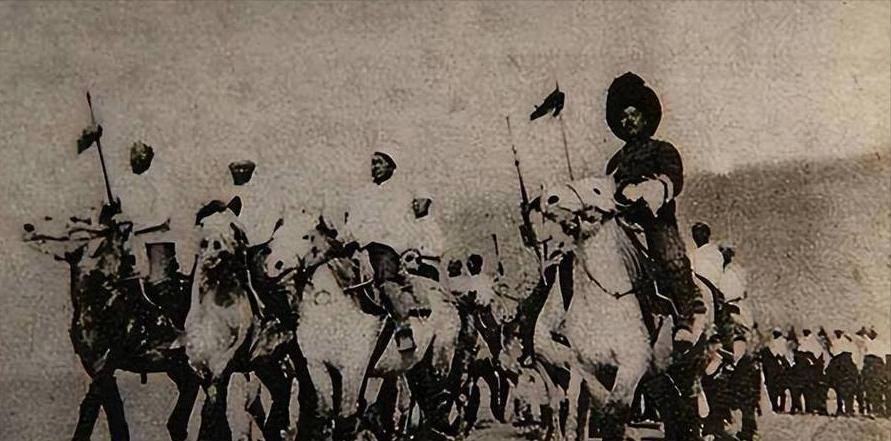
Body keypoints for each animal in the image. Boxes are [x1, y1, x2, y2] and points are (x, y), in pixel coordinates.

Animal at [23, 209, 199, 441]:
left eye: (76, 220)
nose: (28, 228)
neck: (101, 296)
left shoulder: (103, 366)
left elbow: (89, 415)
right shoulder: (98, 369)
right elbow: (116, 422)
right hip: (176, 366)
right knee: (190, 390)